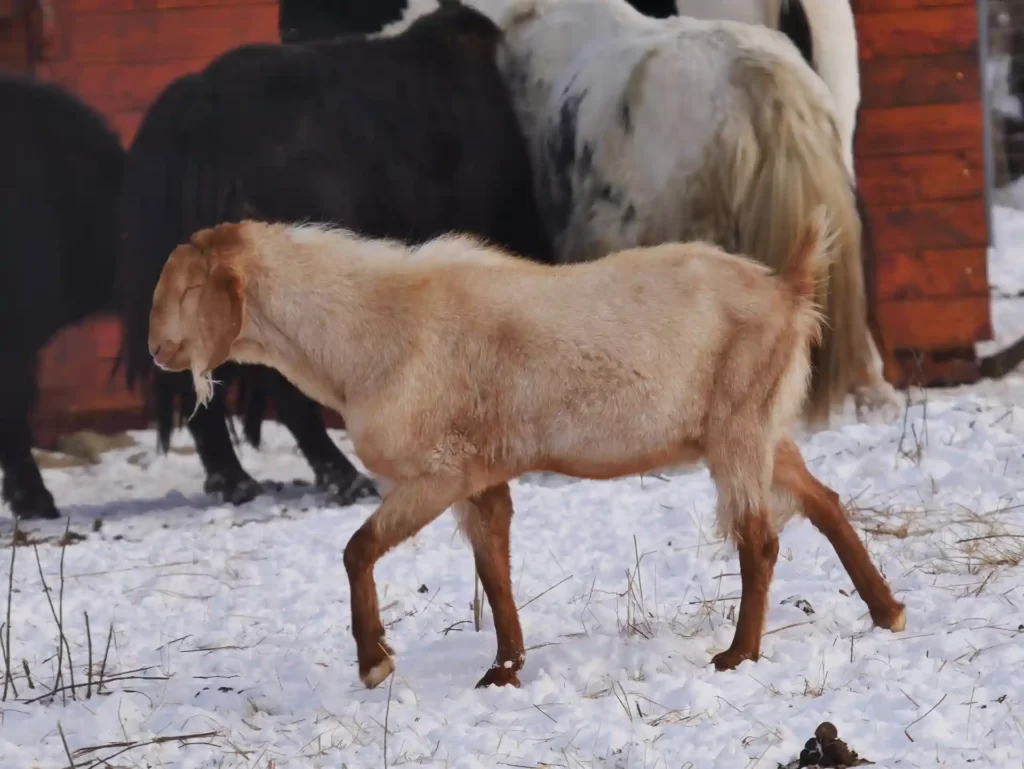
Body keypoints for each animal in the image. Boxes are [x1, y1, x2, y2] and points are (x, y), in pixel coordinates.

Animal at [146, 213, 906, 689]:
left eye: (190, 287)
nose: (157, 350)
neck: (370, 329)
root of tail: (788, 290)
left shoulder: (437, 473)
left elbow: (357, 550)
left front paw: (374, 662)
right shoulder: (480, 477)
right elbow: (495, 571)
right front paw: (504, 668)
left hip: (737, 431)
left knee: (759, 537)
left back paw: (739, 652)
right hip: (758, 429)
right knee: (823, 500)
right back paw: (886, 611)